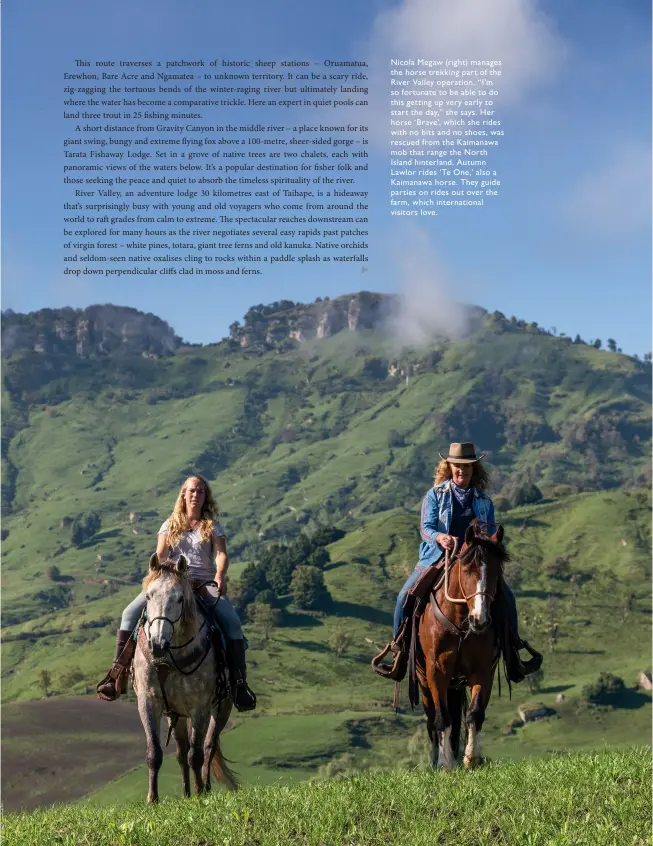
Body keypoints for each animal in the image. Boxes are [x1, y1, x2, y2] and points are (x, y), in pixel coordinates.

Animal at [131, 552, 237, 804]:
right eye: (148, 596)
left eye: (179, 598)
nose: (157, 644)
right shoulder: (148, 702)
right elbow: (155, 753)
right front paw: (152, 800)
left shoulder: (200, 707)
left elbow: (196, 754)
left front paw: (200, 795)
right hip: (176, 714)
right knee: (181, 752)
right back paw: (185, 793)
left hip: (222, 707)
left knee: (207, 747)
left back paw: (203, 788)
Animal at [418, 520, 510, 772]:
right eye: (467, 570)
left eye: (497, 573)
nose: (480, 619)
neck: (460, 623)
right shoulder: (436, 671)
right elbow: (442, 718)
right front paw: (445, 764)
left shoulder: (483, 670)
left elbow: (474, 714)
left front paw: (471, 759)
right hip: (423, 681)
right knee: (431, 720)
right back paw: (435, 761)